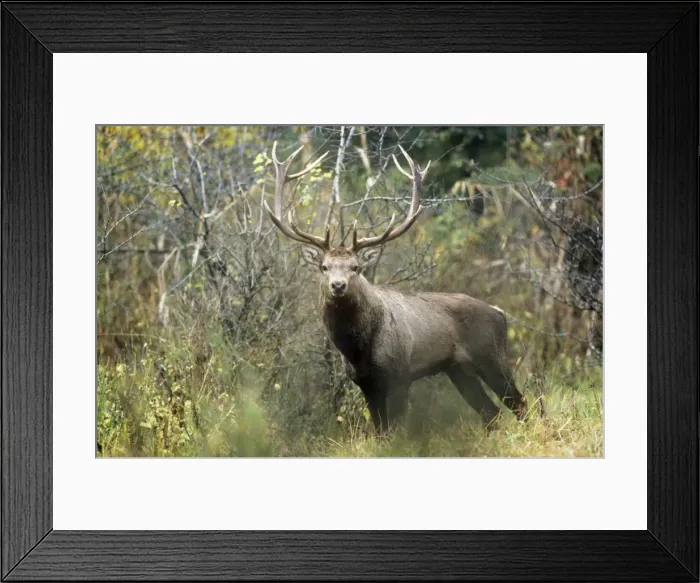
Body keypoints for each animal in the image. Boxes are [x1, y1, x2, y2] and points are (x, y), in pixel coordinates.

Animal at [264, 141, 529, 433]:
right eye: (324, 266)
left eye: (356, 267)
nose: (338, 285)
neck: (358, 350)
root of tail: (500, 313)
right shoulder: (365, 383)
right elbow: (380, 431)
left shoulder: (401, 375)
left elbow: (396, 429)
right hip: (458, 369)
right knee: (491, 412)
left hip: (491, 355)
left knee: (521, 402)